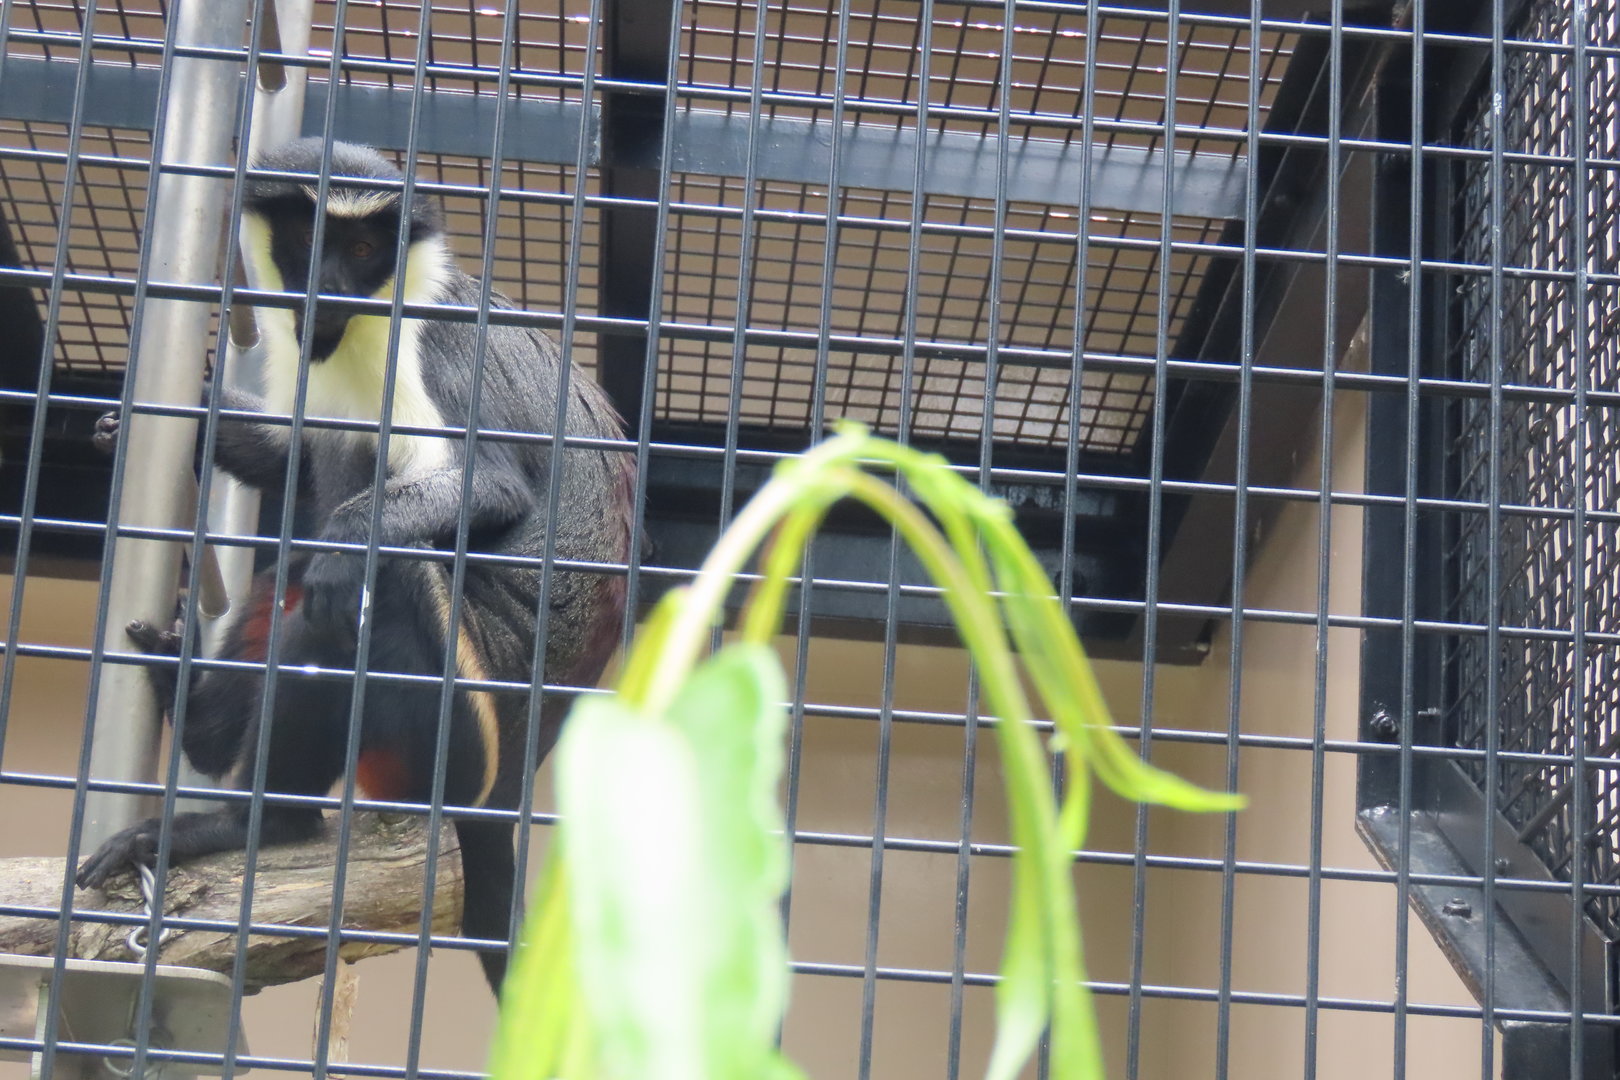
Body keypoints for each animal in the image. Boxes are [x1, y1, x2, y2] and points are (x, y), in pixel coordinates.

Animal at [75, 138, 635, 992]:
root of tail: (506, 789)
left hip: (453, 733)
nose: (330, 286)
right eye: (311, 239)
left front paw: (347, 547)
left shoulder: (431, 350)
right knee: (296, 563)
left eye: (366, 248)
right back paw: (199, 720)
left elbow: (489, 485)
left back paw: (262, 820)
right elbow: (303, 458)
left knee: (371, 588)